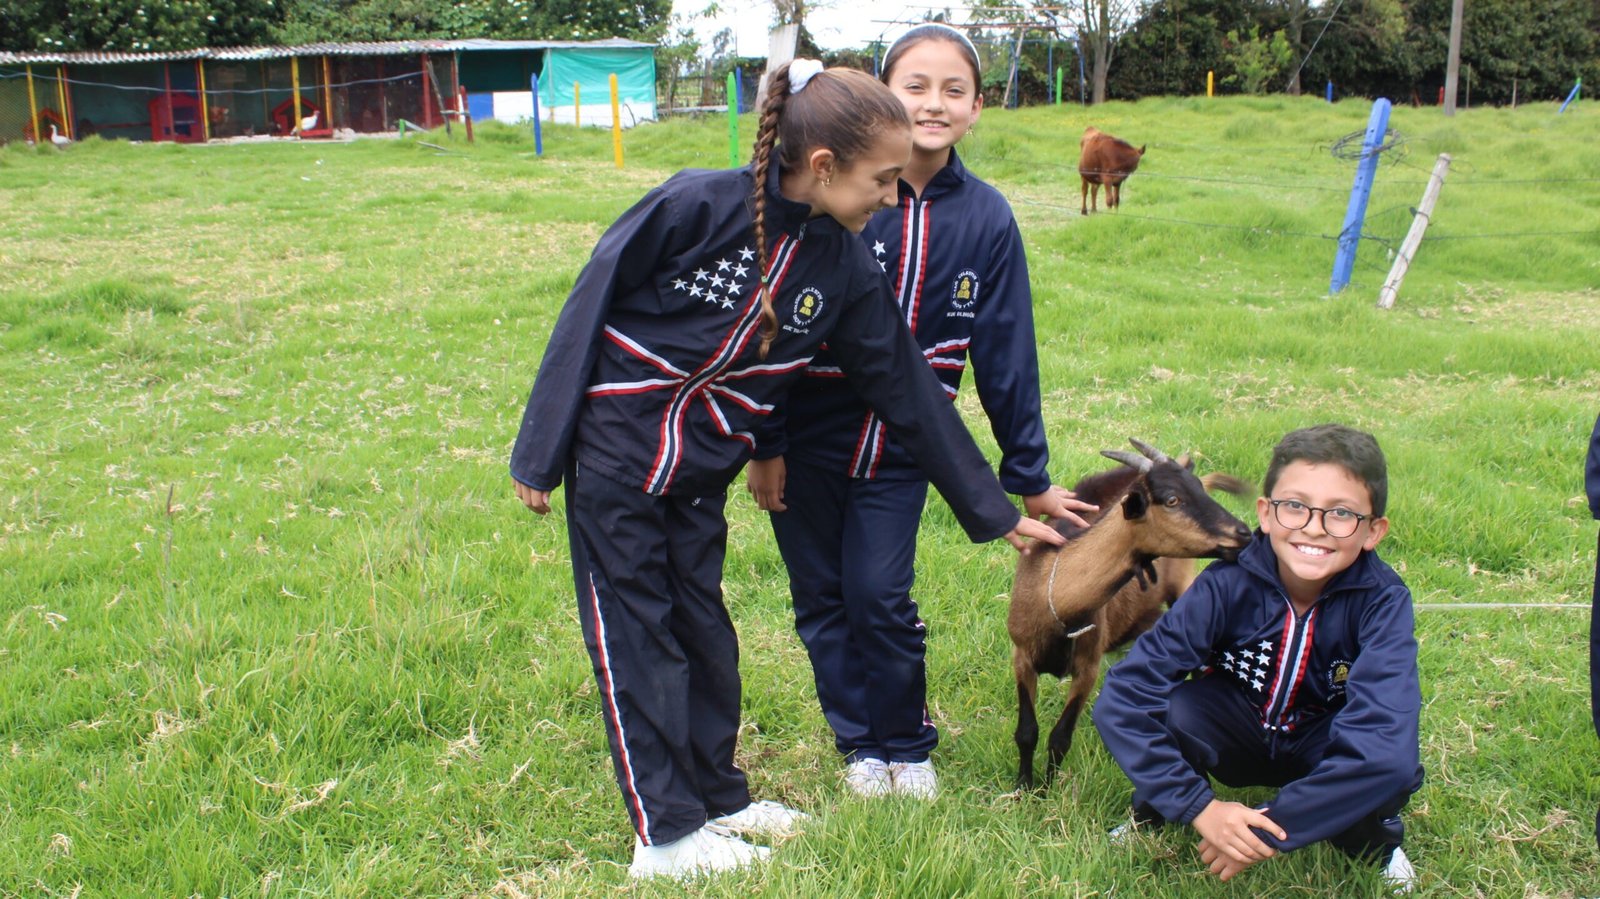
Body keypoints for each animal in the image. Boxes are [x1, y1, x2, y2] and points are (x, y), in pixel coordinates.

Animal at [1004, 438, 1254, 787]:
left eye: (1195, 490)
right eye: (1172, 499)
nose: (1243, 533)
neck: (1055, 592)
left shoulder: (1088, 667)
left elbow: (1060, 738)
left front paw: (1047, 788)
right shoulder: (1022, 656)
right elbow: (1027, 732)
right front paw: (1025, 786)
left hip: (1182, 586)